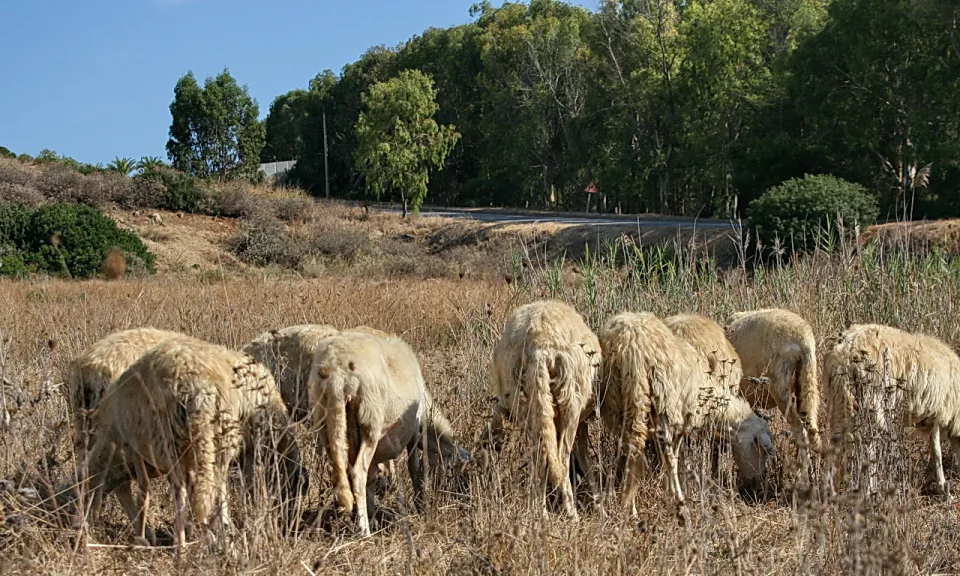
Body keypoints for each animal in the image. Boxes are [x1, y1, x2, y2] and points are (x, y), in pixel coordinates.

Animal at [308, 329, 469, 537]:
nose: (456, 494)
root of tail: (337, 370)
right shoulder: (415, 428)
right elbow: (414, 467)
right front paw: (420, 506)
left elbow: (372, 478)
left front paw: (372, 512)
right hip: (370, 421)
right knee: (358, 473)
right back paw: (364, 531)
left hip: (327, 422)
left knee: (345, 474)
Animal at [484, 300, 601, 521]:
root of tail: (538, 345)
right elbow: (584, 459)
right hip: (570, 401)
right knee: (561, 461)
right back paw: (572, 515)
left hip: (527, 403)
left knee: (539, 457)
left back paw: (539, 513)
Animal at [598, 312, 776, 515]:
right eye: (761, 450)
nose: (754, 486)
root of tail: (630, 343)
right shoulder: (683, 417)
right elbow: (677, 457)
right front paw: (674, 489)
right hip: (665, 401)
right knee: (664, 455)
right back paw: (676, 501)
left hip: (617, 401)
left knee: (628, 451)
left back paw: (622, 503)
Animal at [724, 308, 821, 474]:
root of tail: (803, 338)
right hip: (805, 383)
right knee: (810, 428)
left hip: (780, 386)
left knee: (801, 431)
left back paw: (799, 473)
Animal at [822, 323, 960, 496]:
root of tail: (844, 352)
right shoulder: (939, 412)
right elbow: (937, 450)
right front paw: (943, 488)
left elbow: (934, 446)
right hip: (872, 402)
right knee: (868, 442)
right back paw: (870, 488)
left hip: (840, 400)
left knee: (836, 441)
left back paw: (832, 488)